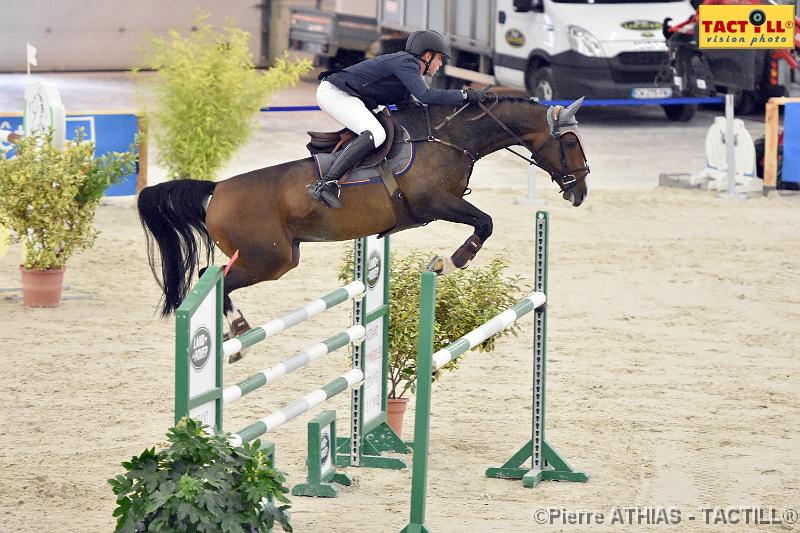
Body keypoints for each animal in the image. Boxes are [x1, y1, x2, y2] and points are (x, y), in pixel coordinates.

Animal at [138, 91, 588, 332]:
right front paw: (454, 260)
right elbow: (485, 222)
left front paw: (449, 261)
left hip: (276, 257)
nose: (580, 191)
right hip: (268, 259)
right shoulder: (437, 203)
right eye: (569, 143)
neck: (451, 138)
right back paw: (237, 331)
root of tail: (217, 190)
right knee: (214, 279)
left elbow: (484, 220)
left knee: (211, 277)